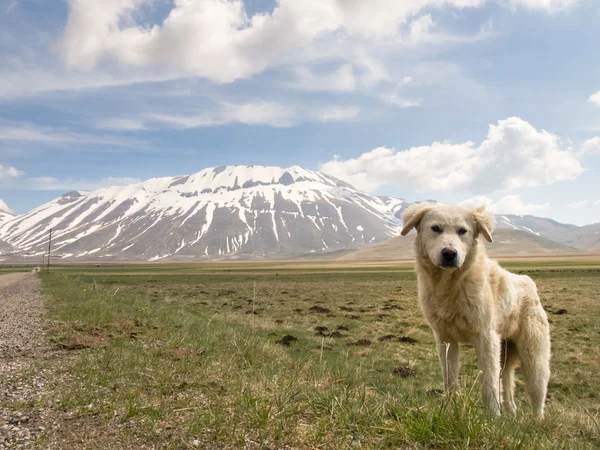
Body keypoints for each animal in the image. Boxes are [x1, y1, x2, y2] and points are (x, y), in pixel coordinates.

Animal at [400, 202, 552, 416]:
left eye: (462, 231)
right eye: (435, 228)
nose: (449, 253)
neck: (451, 284)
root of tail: (528, 282)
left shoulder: (485, 338)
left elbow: (489, 386)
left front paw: (493, 418)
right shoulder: (445, 339)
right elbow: (450, 379)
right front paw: (450, 408)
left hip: (533, 358)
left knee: (537, 396)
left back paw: (536, 420)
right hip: (505, 354)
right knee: (508, 389)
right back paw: (511, 414)